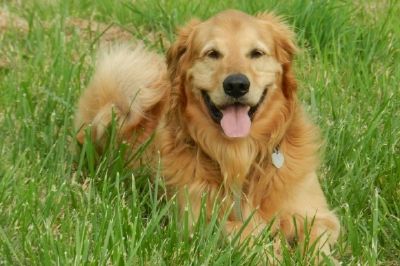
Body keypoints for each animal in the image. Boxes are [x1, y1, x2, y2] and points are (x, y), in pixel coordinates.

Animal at [76, 9, 340, 262]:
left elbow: (316, 240)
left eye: (256, 53)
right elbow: (241, 229)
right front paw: (269, 251)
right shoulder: (195, 221)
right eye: (213, 54)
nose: (236, 85)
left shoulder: (317, 215)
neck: (240, 154)